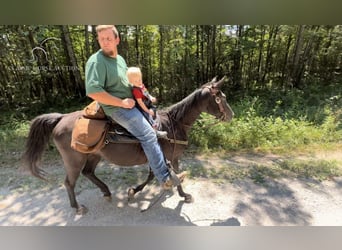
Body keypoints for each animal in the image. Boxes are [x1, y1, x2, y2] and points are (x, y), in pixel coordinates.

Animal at [22, 77, 234, 214]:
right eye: (221, 97)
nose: (231, 115)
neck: (173, 124)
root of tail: (61, 118)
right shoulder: (165, 155)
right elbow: (161, 174)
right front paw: (182, 193)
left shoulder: (169, 156)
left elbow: (157, 174)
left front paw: (140, 191)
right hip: (74, 159)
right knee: (70, 182)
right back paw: (78, 207)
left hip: (94, 155)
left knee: (88, 173)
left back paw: (107, 192)